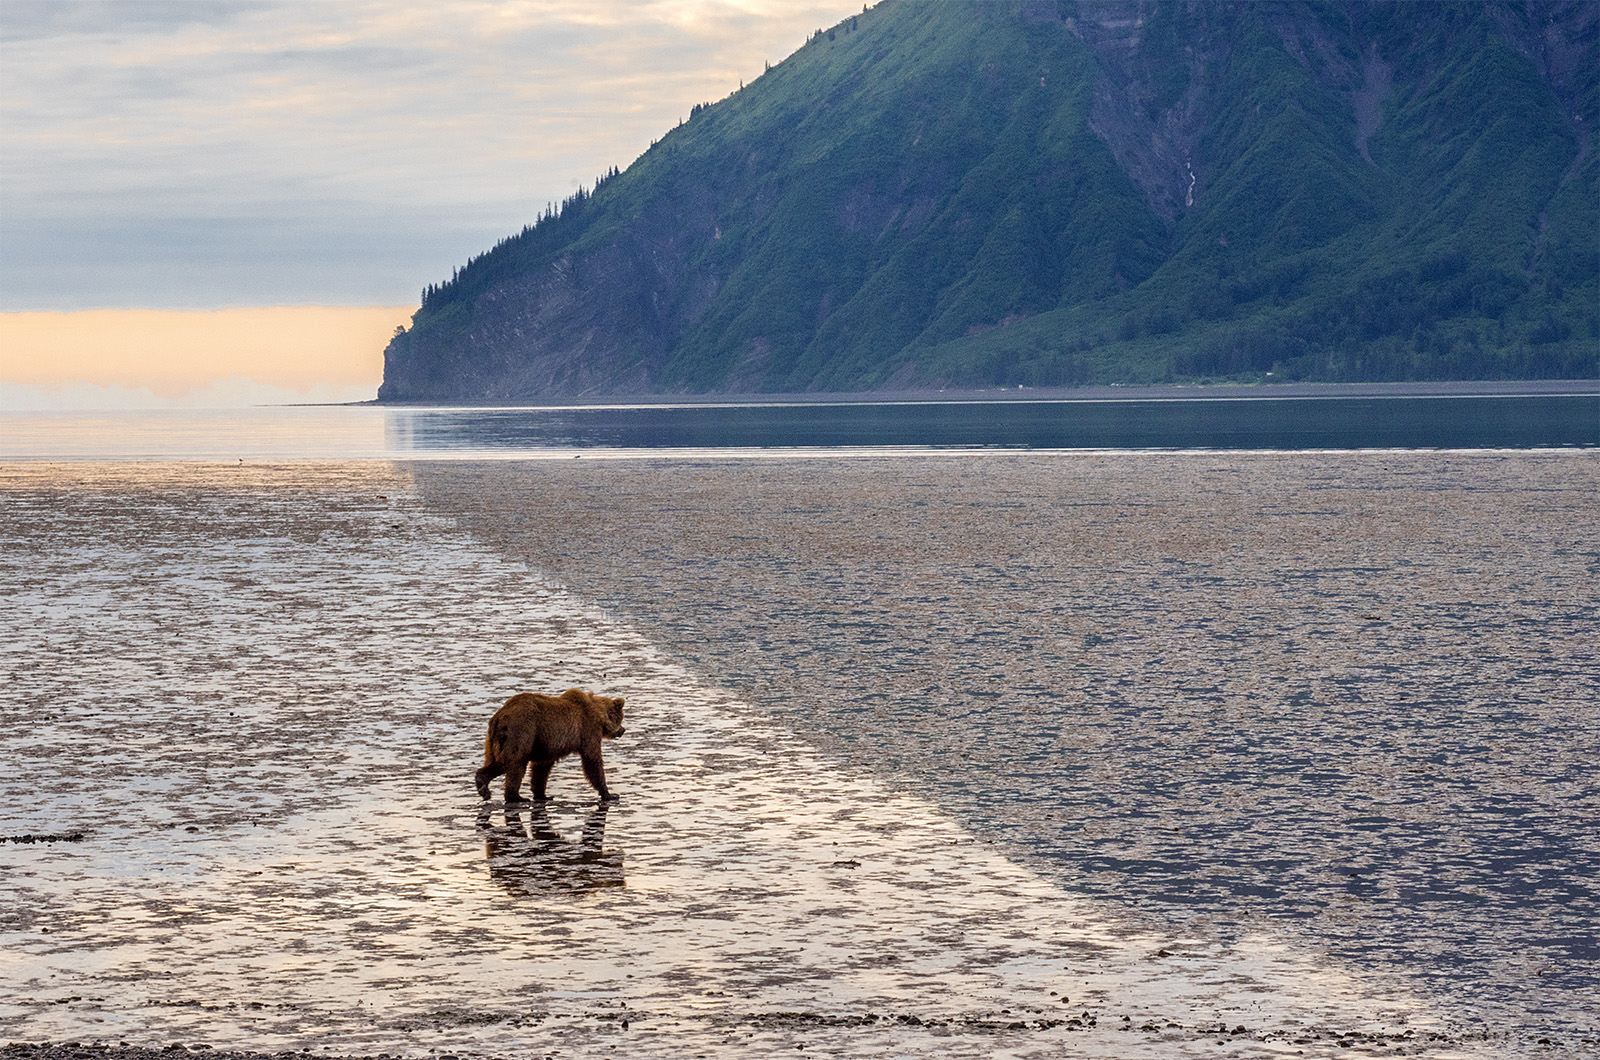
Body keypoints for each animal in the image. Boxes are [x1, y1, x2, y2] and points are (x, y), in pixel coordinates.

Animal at [470, 688, 627, 807]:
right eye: (621, 718)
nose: (623, 730)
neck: (599, 714)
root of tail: (499, 717)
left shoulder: (547, 743)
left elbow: (541, 768)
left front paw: (542, 795)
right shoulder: (587, 729)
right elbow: (592, 760)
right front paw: (610, 794)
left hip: (496, 741)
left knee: (499, 763)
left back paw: (483, 785)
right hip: (522, 731)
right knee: (516, 764)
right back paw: (517, 797)